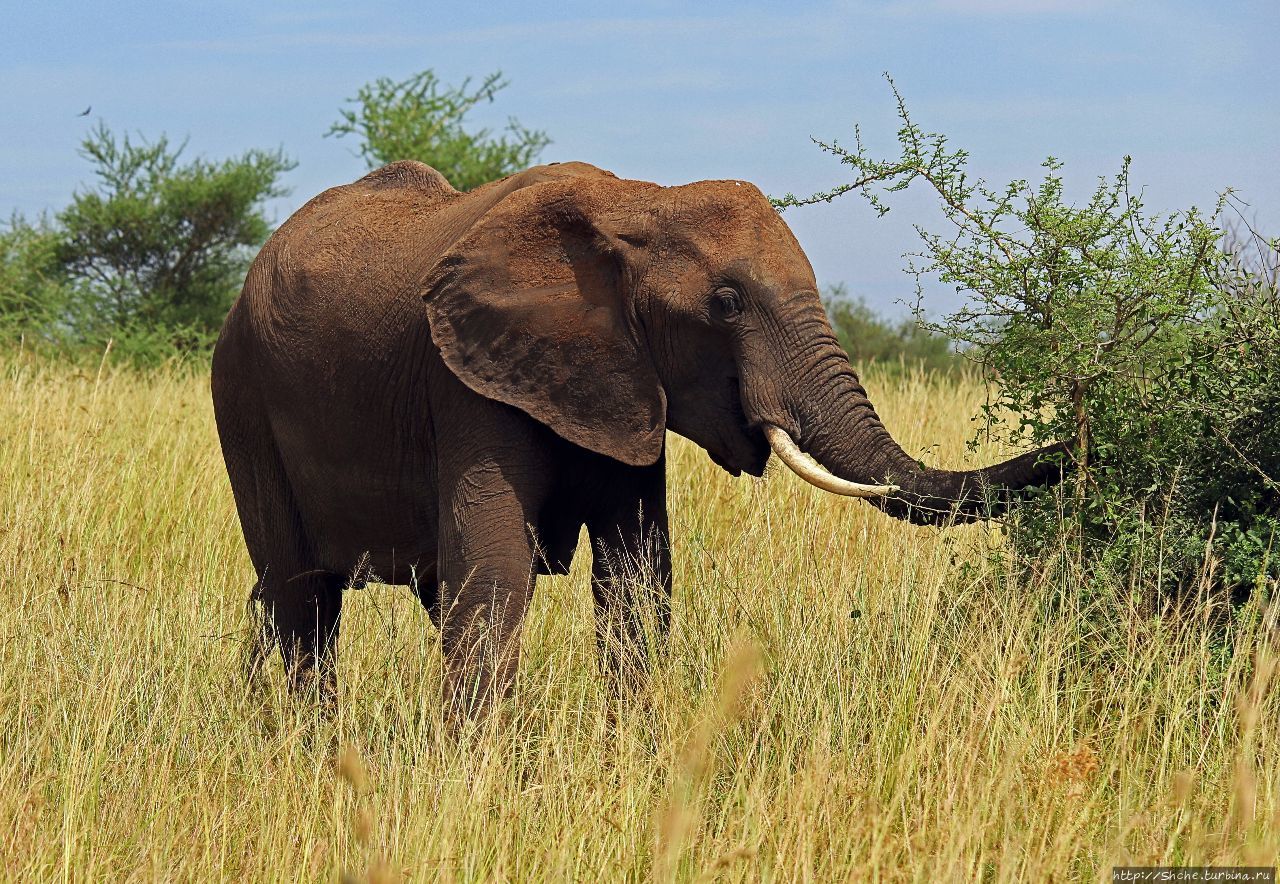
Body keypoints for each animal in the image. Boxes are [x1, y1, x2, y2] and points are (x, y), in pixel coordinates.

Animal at [209, 160, 1070, 721]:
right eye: (726, 303)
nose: (1071, 449)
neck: (637, 203)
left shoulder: (622, 381)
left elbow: (636, 578)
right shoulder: (464, 378)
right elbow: (496, 573)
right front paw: (478, 780)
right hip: (241, 397)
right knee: (303, 601)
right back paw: (315, 753)